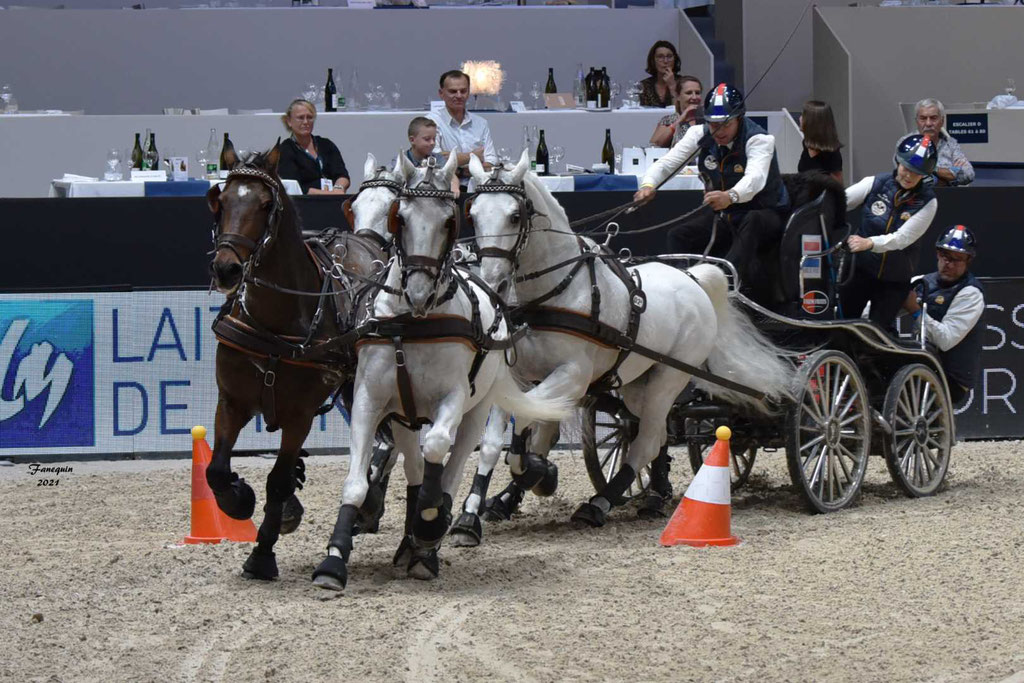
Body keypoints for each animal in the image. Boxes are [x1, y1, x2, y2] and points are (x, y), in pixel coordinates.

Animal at [205, 147, 382, 581]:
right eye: (222, 200)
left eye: (266, 204)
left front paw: (262, 554)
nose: (226, 268)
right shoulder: (230, 402)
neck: (276, 321)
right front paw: (240, 498)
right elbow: (216, 470)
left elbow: (278, 481)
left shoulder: (300, 415)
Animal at [311, 152, 573, 589]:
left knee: (458, 461)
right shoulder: (369, 400)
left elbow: (437, 451)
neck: (412, 322)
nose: (417, 291)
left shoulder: (452, 400)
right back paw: (411, 540)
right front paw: (335, 557)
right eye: (401, 216)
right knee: (416, 468)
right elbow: (358, 481)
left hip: (477, 410)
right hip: (404, 415)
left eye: (451, 220)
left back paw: (437, 534)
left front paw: (431, 524)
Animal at [458, 152, 798, 532]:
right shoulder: (517, 377)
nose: (493, 282)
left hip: (670, 376)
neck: (555, 293)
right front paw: (473, 514)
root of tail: (692, 277)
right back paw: (653, 495)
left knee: (646, 440)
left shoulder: (573, 377)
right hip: (639, 382)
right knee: (654, 432)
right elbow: (497, 441)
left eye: (514, 216)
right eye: (473, 214)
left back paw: (599, 503)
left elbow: (531, 426)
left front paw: (538, 474)